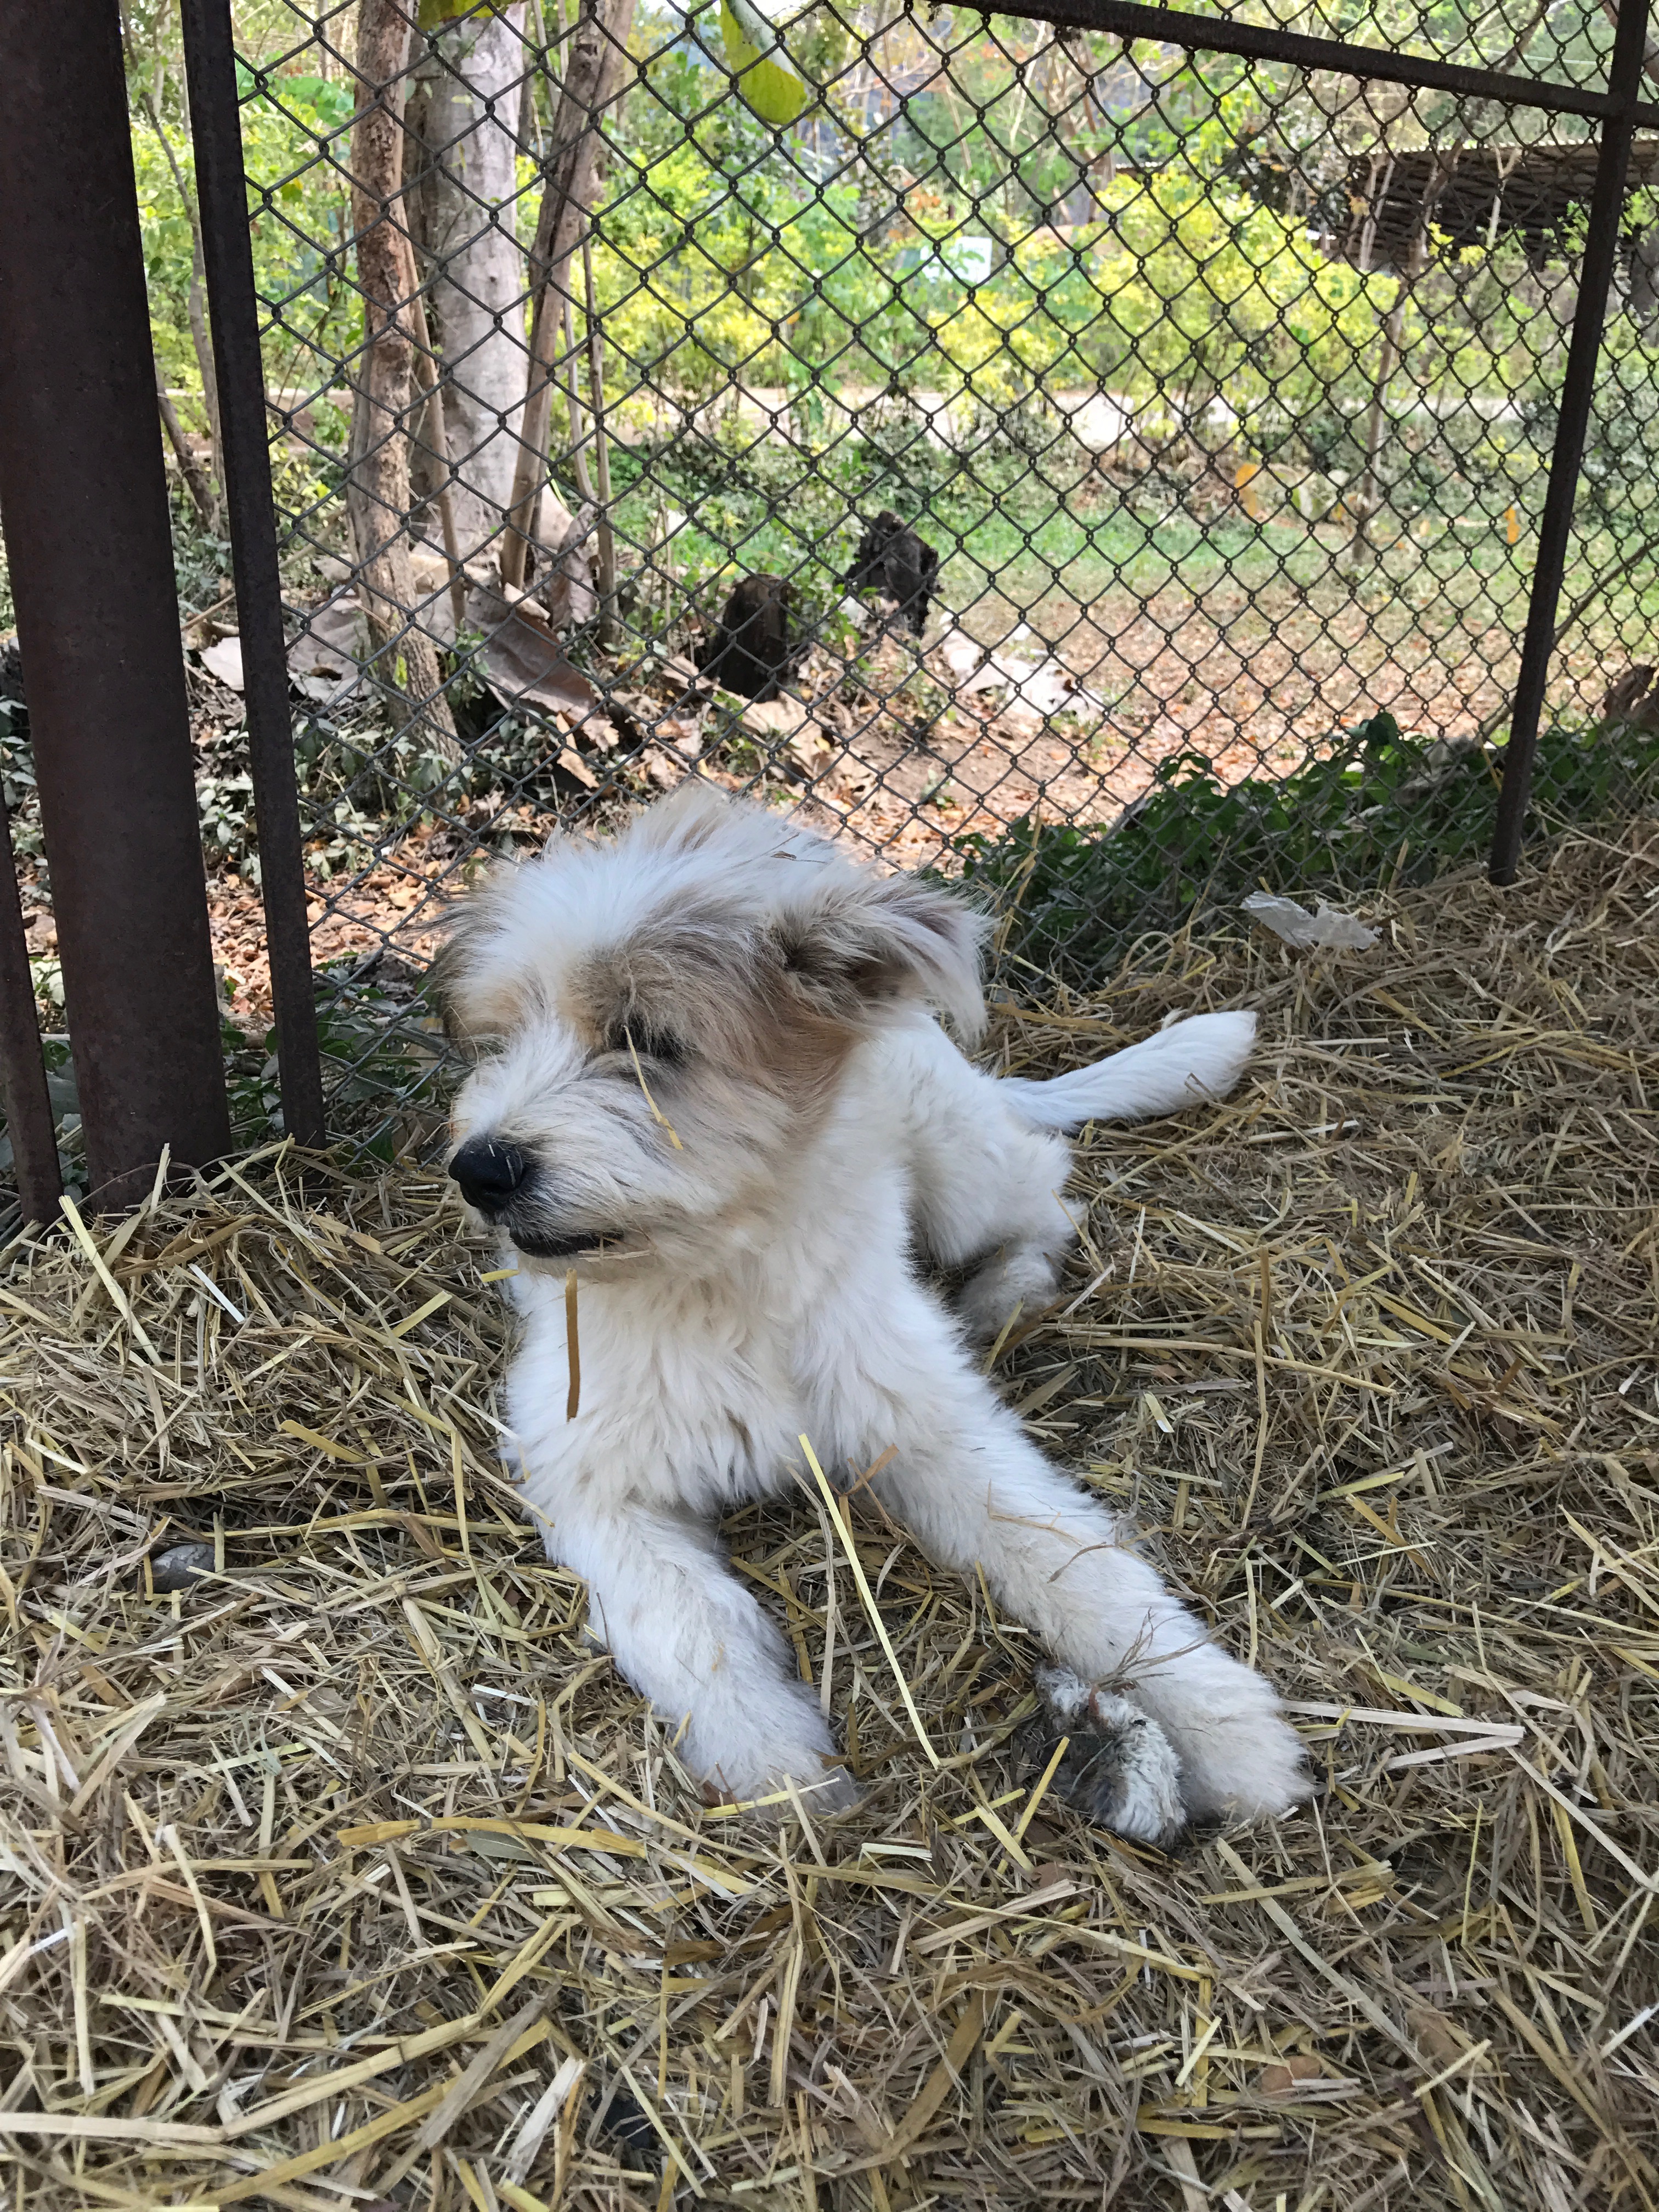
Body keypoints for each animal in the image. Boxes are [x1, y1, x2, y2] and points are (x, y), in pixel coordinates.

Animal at [439, 784, 1307, 1843]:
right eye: (504, 1036)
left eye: (648, 1040)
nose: (479, 1170)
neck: (720, 1279)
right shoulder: (589, 1475)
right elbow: (689, 1623)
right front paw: (778, 1766)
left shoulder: (927, 1425)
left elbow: (1079, 1566)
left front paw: (1227, 1728)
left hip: (962, 1168)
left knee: (1048, 1192)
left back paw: (1000, 1295)